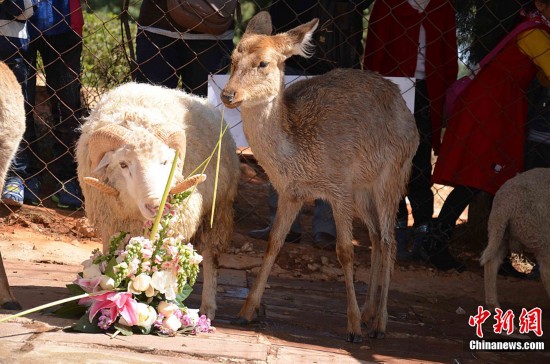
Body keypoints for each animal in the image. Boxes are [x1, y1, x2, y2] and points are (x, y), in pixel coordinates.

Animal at [76, 83, 240, 318]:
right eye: (123, 164)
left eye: (165, 162)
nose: (155, 205)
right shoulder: (112, 226)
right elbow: (111, 260)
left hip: (217, 210)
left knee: (210, 258)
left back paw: (208, 307)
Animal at [222, 11, 420, 342]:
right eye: (232, 58)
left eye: (263, 63)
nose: (228, 94)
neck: (298, 155)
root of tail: (411, 118)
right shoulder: (290, 192)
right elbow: (274, 242)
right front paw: (245, 312)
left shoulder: (339, 187)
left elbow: (345, 251)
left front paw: (353, 328)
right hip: (363, 189)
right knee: (376, 238)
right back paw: (369, 312)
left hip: (393, 176)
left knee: (390, 240)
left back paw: (379, 323)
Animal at [484, 168, 550, 310]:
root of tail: (505, 205)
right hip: (542, 237)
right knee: (546, 272)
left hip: (500, 232)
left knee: (491, 262)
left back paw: (493, 305)